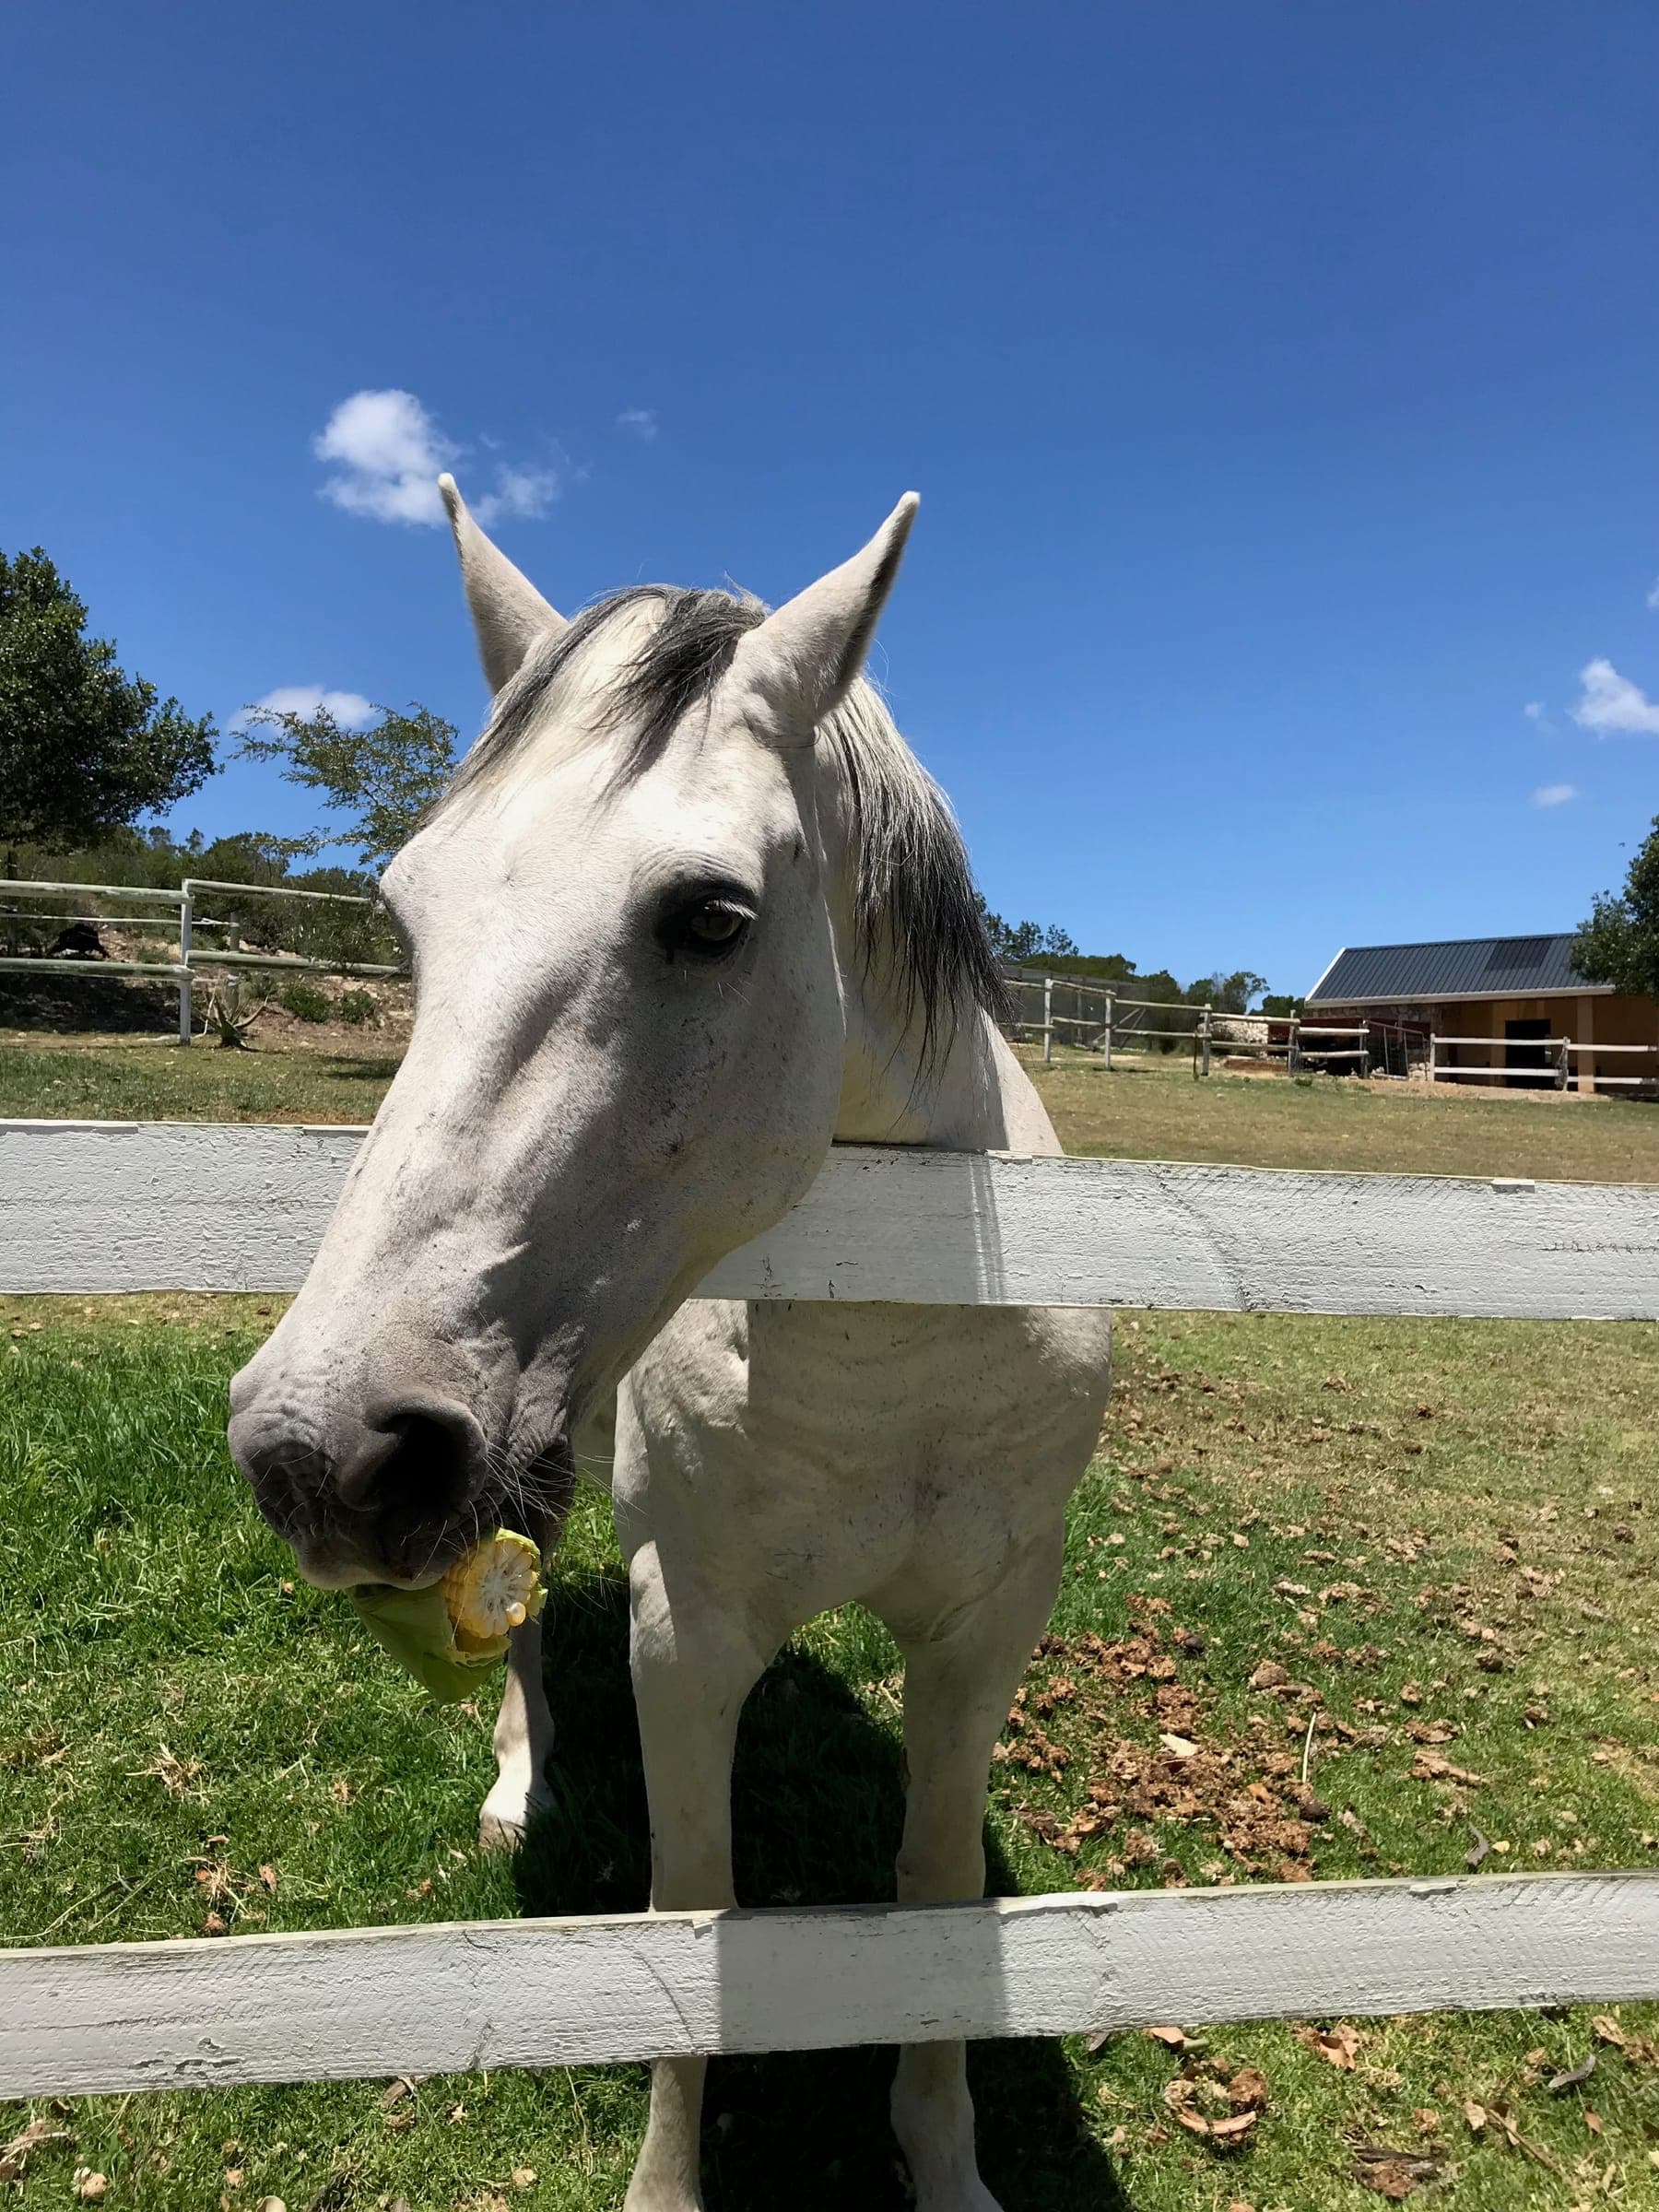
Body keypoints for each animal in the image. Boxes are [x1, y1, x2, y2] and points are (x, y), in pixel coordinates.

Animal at [229, 480, 1112, 2212]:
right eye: (408, 916)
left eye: (710, 918)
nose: (315, 1448)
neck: (888, 1350)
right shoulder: (683, 1635)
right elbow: (690, 1914)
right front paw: (667, 2185)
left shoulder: (986, 1634)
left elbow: (932, 1896)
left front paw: (946, 2164)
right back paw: (519, 1790)